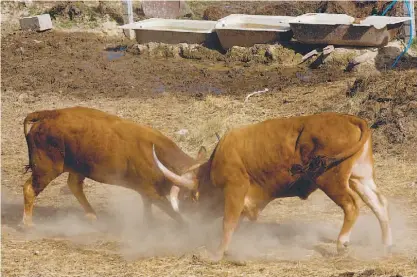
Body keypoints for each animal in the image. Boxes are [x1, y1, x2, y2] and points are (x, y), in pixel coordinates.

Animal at [21, 105, 206, 226]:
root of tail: (49, 114)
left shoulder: (147, 193)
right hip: (46, 169)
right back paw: (28, 224)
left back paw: (92, 216)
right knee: (29, 188)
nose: (206, 216)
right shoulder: (152, 193)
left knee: (74, 185)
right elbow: (173, 213)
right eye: (194, 197)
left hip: (79, 166)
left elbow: (148, 209)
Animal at [153, 111, 390, 258]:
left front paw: (217, 254)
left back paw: (342, 243)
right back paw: (386, 243)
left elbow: (228, 222)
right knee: (379, 203)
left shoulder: (235, 188)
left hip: (331, 180)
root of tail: (350, 119)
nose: (193, 221)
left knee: (352, 205)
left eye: (190, 199)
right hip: (360, 177)